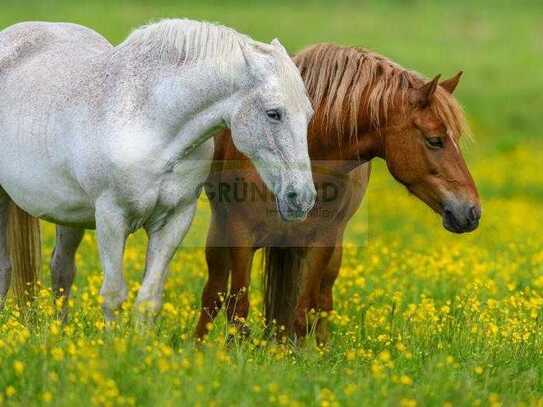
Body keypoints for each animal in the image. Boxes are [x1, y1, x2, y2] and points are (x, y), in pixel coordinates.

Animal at [0, 19, 316, 320]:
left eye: (309, 114)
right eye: (274, 114)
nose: (302, 198)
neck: (150, 124)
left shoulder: (174, 220)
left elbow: (148, 300)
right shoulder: (111, 217)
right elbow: (113, 296)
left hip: (69, 216)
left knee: (61, 270)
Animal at [194, 43, 480, 344]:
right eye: (435, 140)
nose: (472, 211)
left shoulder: (322, 241)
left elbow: (303, 313)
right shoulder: (241, 234)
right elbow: (236, 307)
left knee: (323, 301)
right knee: (213, 293)